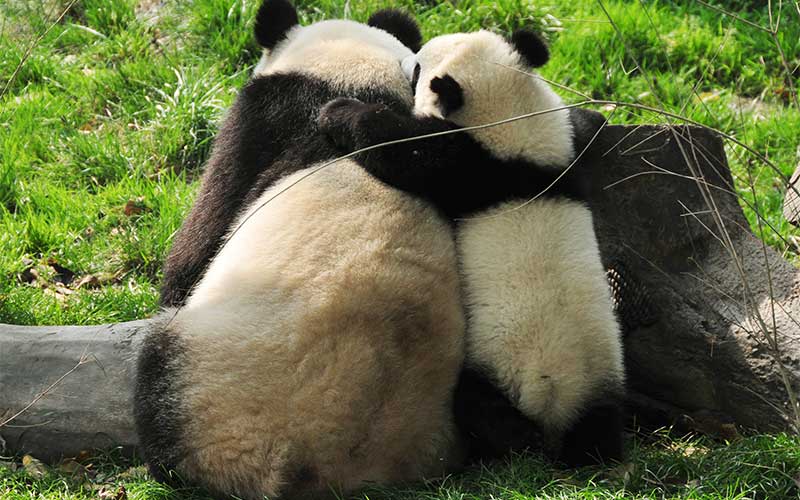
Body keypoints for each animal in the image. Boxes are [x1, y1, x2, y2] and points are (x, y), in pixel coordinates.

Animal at [134, 2, 467, 499]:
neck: (349, 80)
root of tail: (324, 465)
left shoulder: (259, 123)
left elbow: (203, 236)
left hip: (217, 378)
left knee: (159, 373)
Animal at [317, 29, 625, 467]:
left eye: (417, 69)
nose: (404, 64)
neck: (515, 129)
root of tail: (555, 397)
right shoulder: (559, 149)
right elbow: (584, 128)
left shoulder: (466, 166)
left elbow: (402, 151)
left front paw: (339, 111)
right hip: (603, 380)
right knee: (600, 427)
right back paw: (602, 457)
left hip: (496, 370)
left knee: (478, 407)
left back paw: (515, 446)